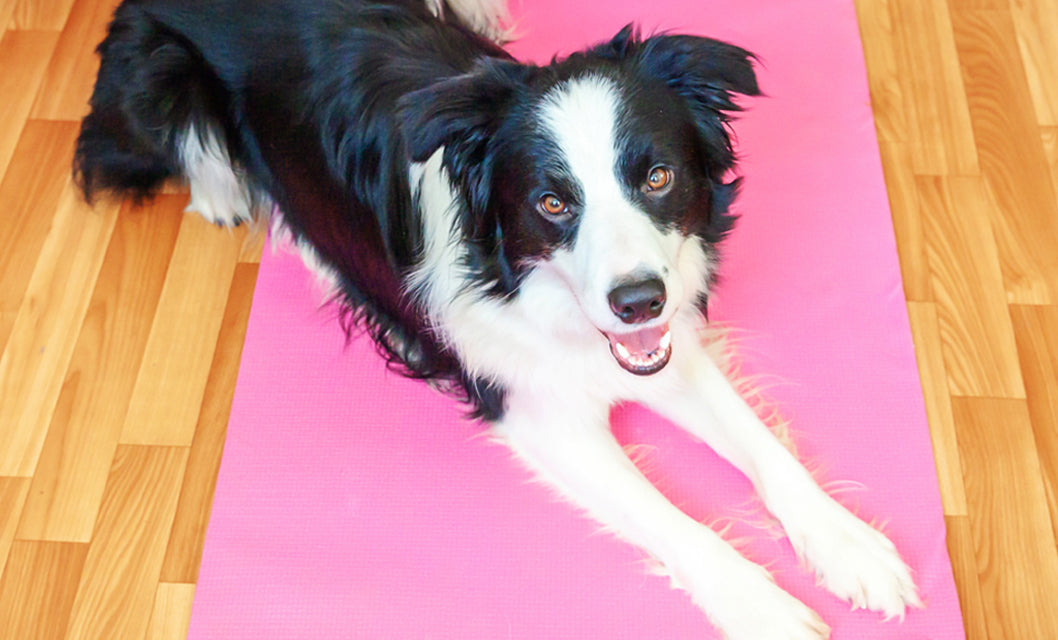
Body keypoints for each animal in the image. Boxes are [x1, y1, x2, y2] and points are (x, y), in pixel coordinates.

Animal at [74, 0, 922, 634]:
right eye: (551, 203)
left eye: (657, 176)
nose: (638, 301)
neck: (522, 283)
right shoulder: (539, 413)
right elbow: (674, 520)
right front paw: (763, 605)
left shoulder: (657, 345)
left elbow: (761, 444)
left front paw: (850, 545)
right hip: (155, 71)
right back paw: (237, 201)